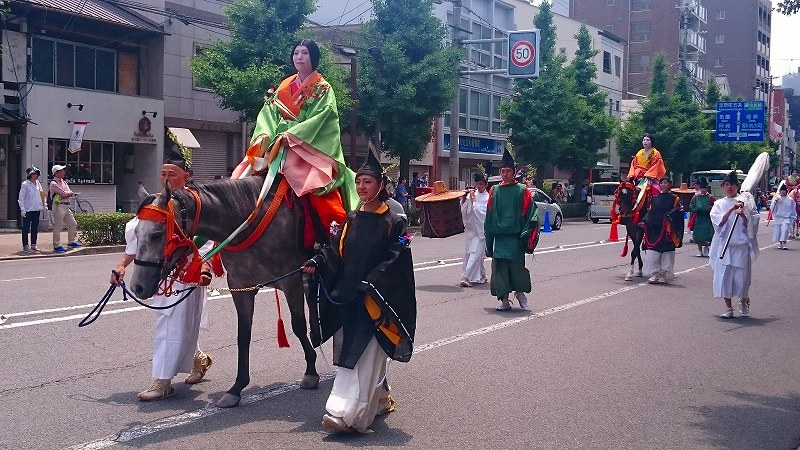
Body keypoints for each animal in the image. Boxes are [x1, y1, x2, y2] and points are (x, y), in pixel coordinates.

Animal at [130, 175, 320, 408]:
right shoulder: (241, 286)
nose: (137, 286)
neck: (247, 222)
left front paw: (311, 371)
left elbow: (298, 326)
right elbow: (243, 335)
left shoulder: (291, 280)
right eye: (135, 233)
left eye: (157, 235)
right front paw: (236, 388)